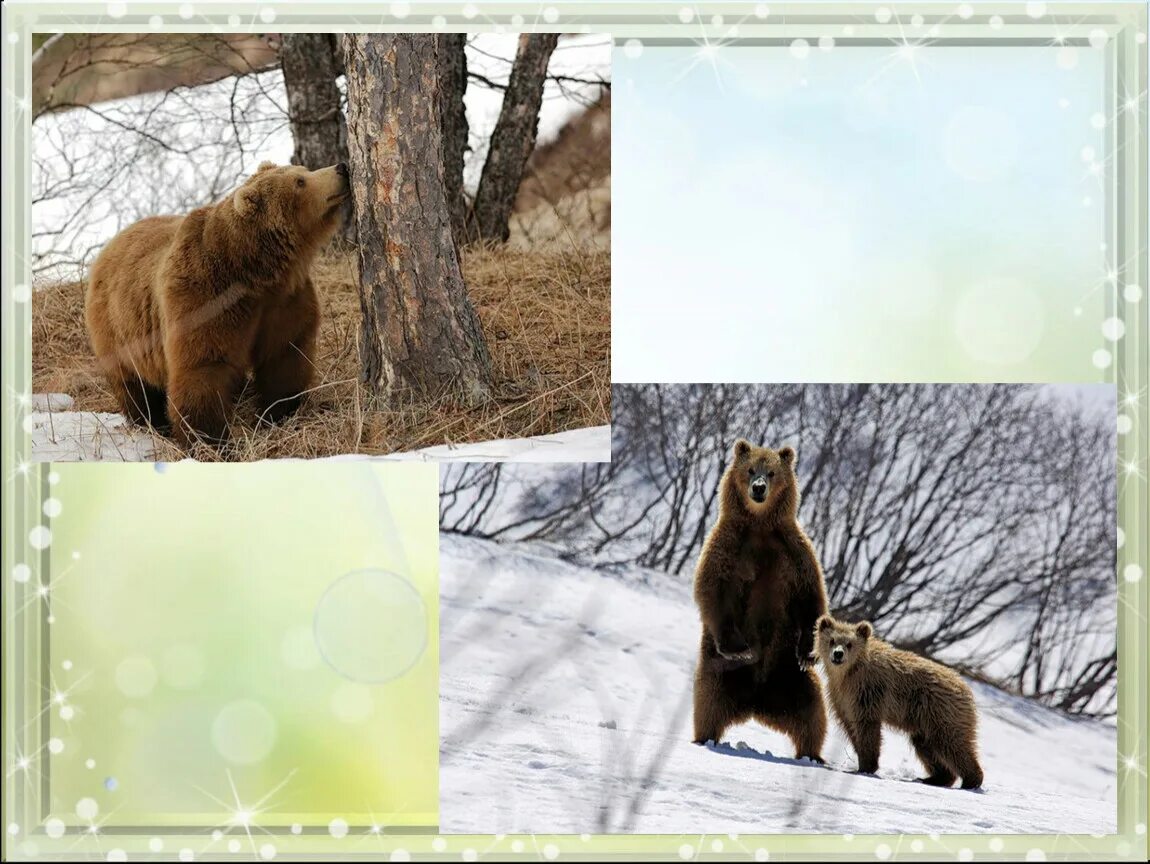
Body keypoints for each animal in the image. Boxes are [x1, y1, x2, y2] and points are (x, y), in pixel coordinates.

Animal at [84, 161, 347, 446]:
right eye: (300, 181)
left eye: (304, 170)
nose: (341, 168)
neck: (254, 272)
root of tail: (110, 245)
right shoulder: (205, 299)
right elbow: (202, 367)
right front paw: (210, 439)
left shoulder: (284, 301)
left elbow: (285, 355)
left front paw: (280, 412)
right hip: (119, 330)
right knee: (134, 384)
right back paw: (150, 422)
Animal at [690, 441, 828, 759]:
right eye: (751, 469)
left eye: (772, 472)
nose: (759, 488)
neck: (760, 524)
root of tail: (756, 702)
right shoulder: (728, 546)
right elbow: (713, 589)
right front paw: (739, 648)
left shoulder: (794, 551)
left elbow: (811, 598)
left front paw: (808, 652)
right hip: (719, 672)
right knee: (708, 702)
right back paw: (704, 738)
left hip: (790, 677)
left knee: (813, 714)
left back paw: (811, 754)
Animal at [814, 616, 984, 791]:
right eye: (832, 640)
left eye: (849, 643)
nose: (838, 654)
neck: (848, 673)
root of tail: (966, 689)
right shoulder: (841, 698)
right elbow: (851, 727)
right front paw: (862, 759)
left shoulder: (868, 692)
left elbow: (867, 729)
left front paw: (866, 766)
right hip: (925, 723)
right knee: (926, 746)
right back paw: (934, 778)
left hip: (941, 711)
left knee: (952, 743)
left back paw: (971, 781)